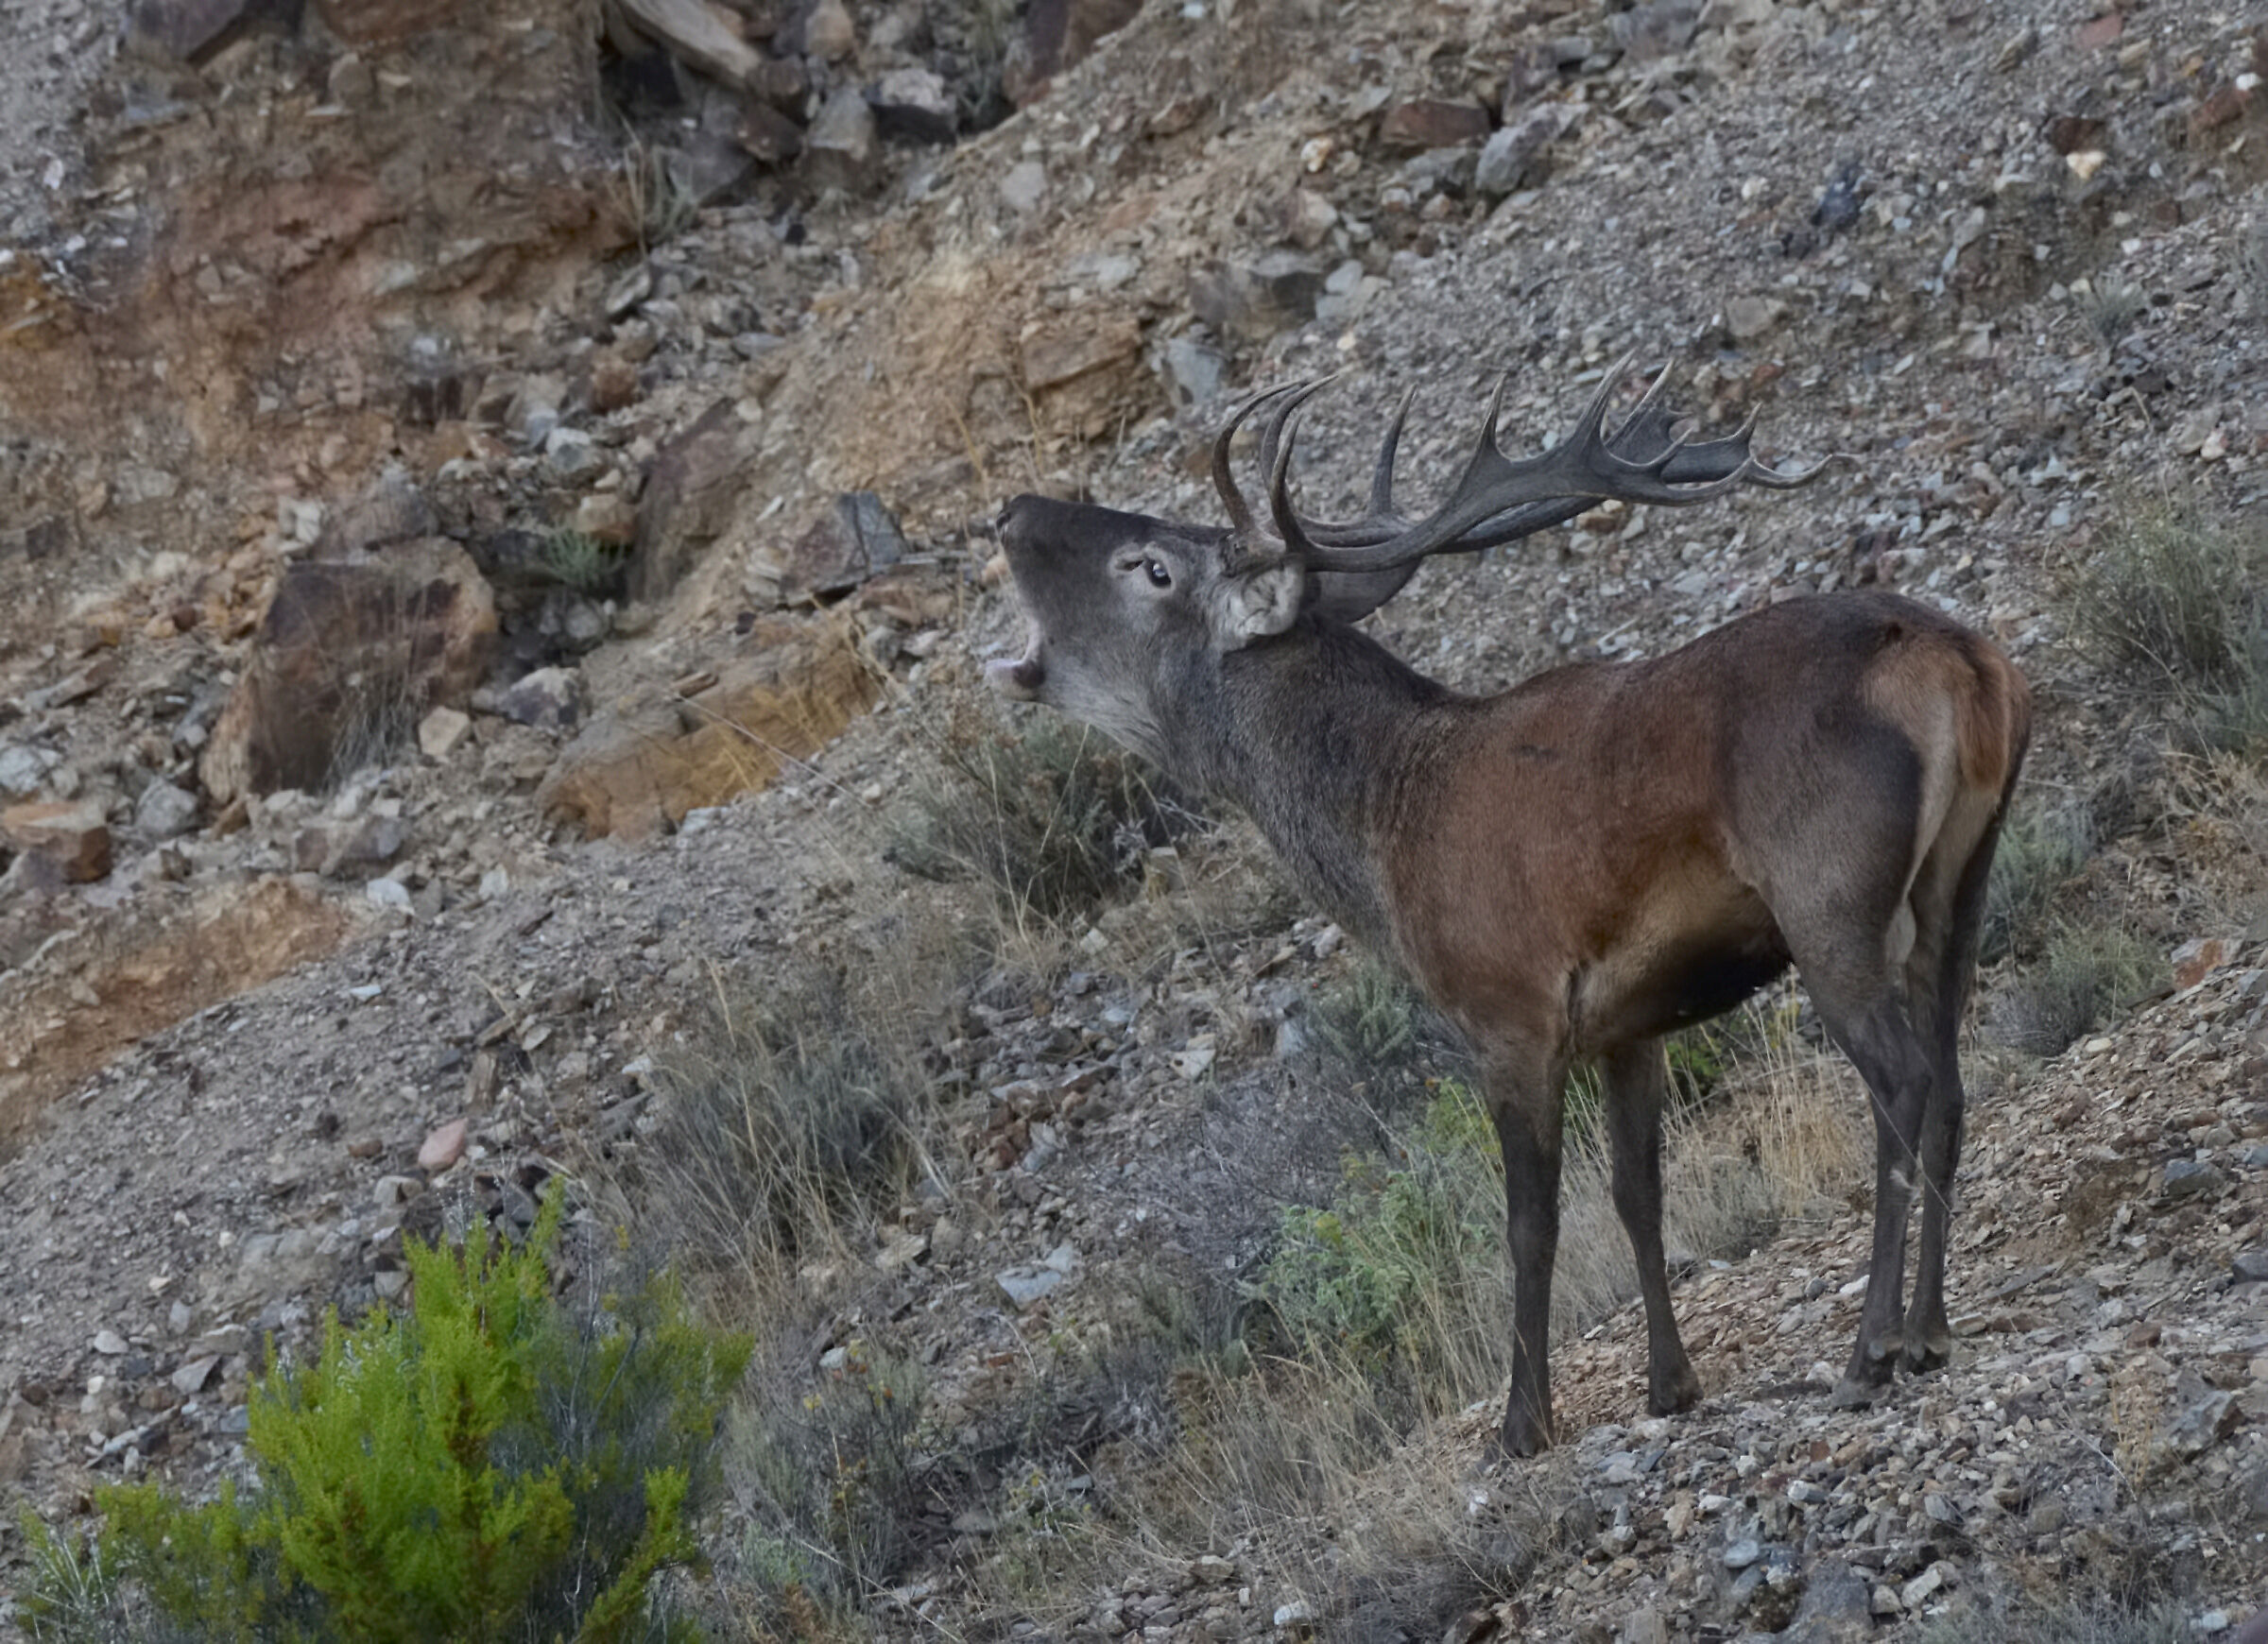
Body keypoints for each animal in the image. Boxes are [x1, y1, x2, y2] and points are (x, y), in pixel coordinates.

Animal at [983, 355, 2031, 1457]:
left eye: (1151, 567)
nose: (1010, 510)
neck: (1385, 833)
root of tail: (1966, 663)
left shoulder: (1507, 1013)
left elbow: (1531, 1223)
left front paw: (1524, 1420)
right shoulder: (1629, 1022)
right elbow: (1636, 1191)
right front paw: (1670, 1384)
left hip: (1830, 900)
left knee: (1902, 1084)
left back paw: (1871, 1350)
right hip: (1960, 882)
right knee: (1952, 1079)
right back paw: (1932, 1331)